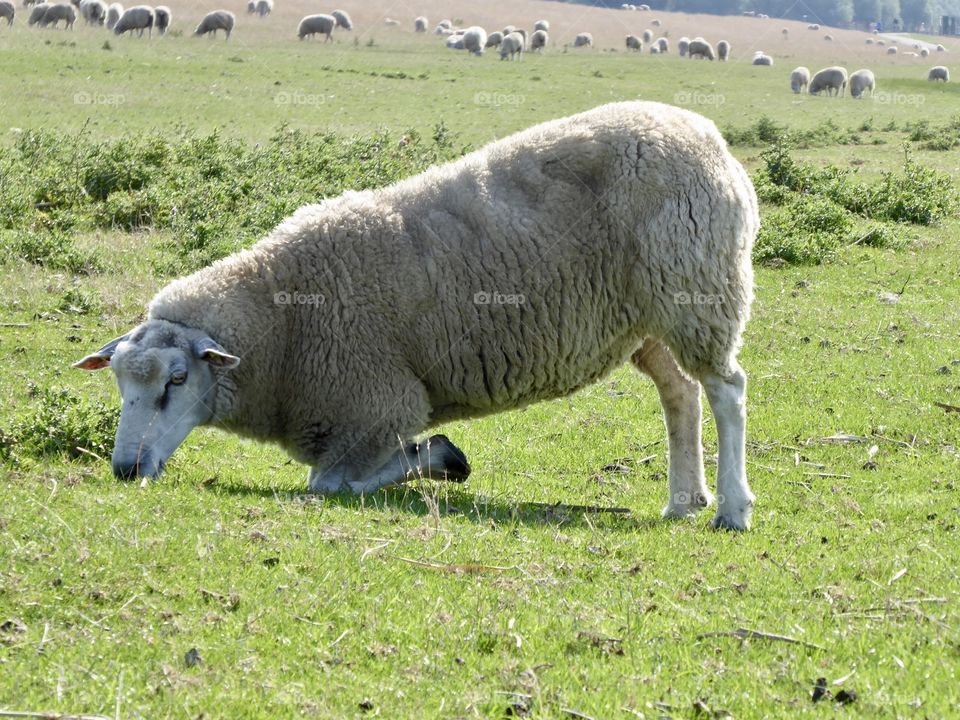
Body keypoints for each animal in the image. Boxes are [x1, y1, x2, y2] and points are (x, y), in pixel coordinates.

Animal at [75, 101, 760, 532]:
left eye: (178, 380)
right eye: (119, 381)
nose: (125, 470)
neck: (283, 323)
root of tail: (714, 142)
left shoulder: (375, 404)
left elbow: (334, 484)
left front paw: (441, 456)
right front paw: (439, 456)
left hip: (696, 288)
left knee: (726, 390)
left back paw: (731, 510)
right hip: (650, 314)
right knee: (681, 393)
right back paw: (684, 500)